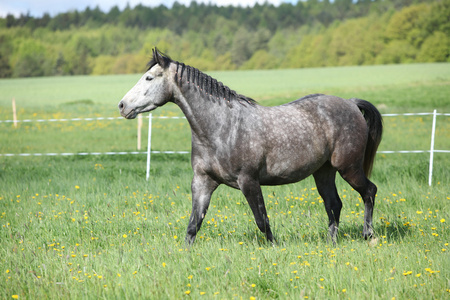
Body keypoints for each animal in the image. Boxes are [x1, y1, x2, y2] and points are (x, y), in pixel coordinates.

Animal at [118, 49, 382, 245]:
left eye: (149, 78)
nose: (122, 106)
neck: (221, 127)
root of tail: (350, 103)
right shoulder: (203, 182)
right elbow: (193, 225)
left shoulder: (249, 181)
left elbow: (262, 221)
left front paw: (275, 248)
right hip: (324, 172)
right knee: (334, 205)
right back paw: (331, 243)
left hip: (349, 168)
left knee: (369, 191)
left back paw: (368, 235)